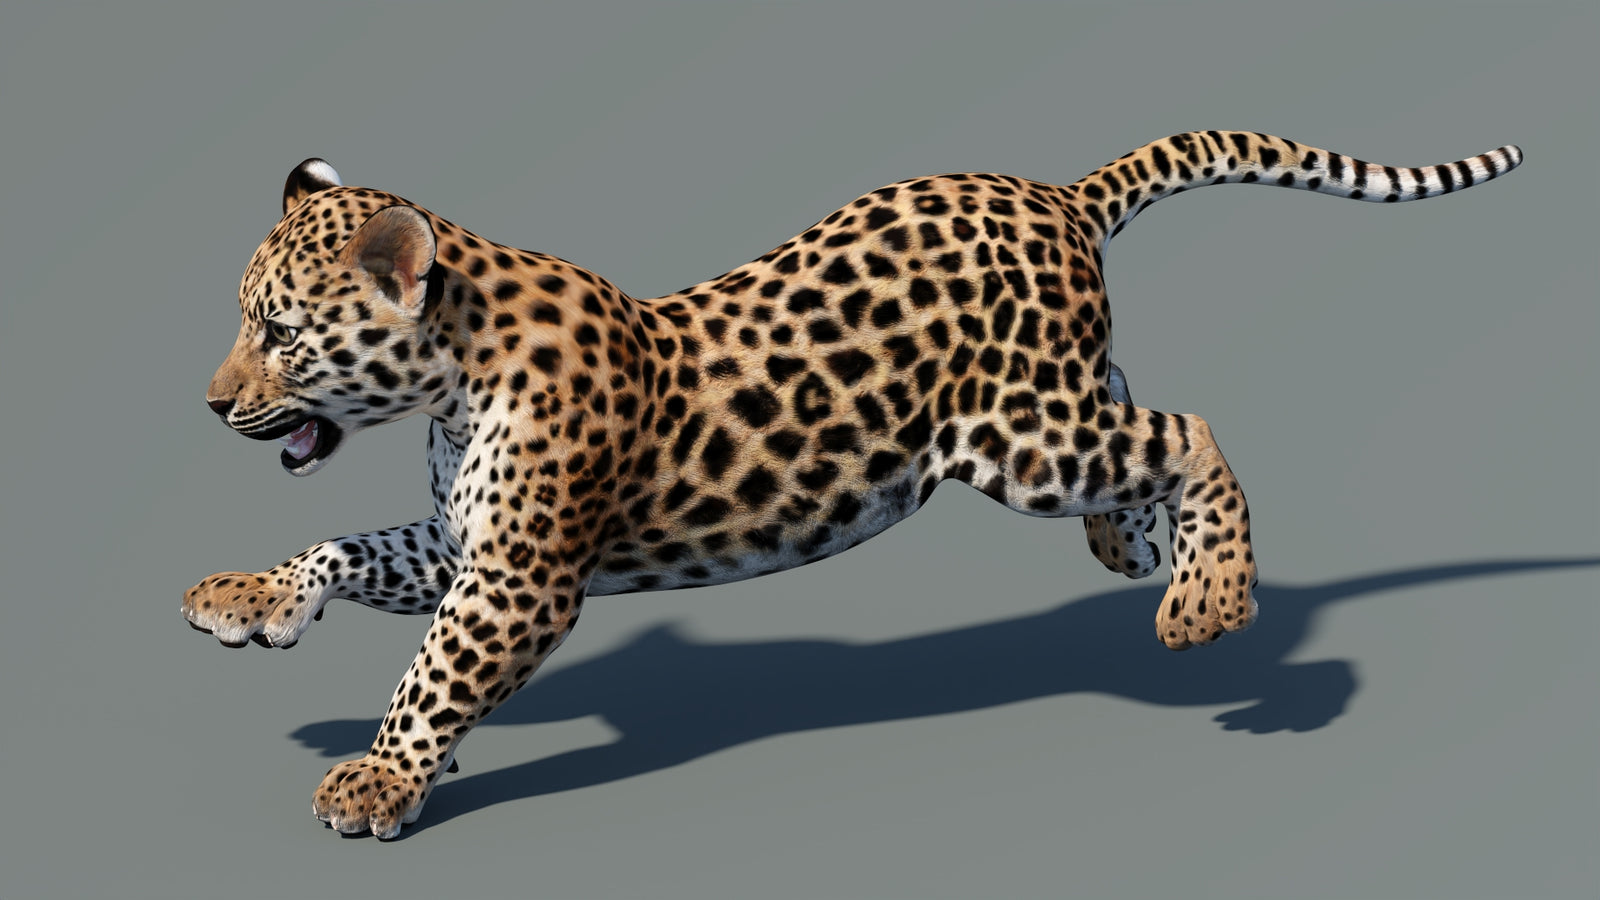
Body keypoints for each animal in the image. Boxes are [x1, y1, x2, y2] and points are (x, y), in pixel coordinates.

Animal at [185, 132, 1522, 838]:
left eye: (278, 333)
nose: (209, 402)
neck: (452, 376)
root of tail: (1056, 193)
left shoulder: (518, 577)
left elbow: (434, 675)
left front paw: (379, 777)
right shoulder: (463, 544)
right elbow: (349, 550)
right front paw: (253, 600)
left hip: (1018, 443)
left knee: (1188, 428)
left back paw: (1205, 600)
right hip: (1049, 410)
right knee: (1136, 401)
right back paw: (1132, 548)